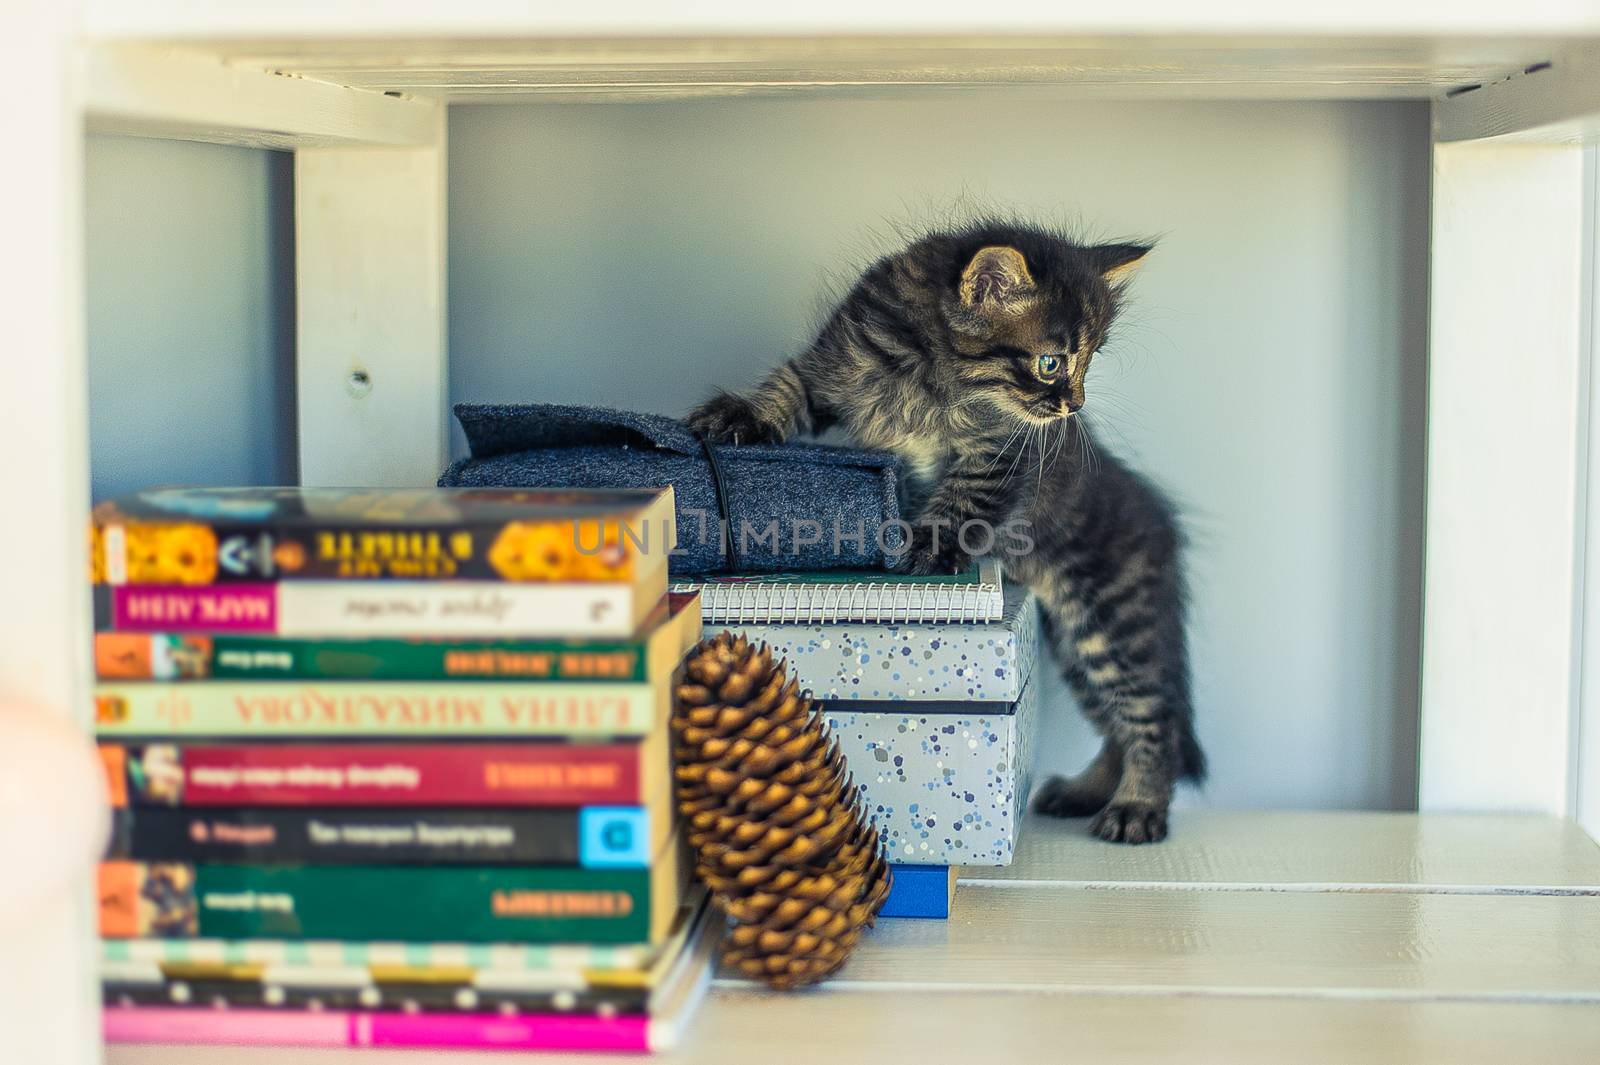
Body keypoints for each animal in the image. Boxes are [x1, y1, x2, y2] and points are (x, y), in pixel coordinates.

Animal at [684, 219, 1203, 844]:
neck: (934, 378)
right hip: (1077, 644)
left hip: (1113, 622)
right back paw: (1085, 792)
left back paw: (1137, 808)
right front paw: (744, 414)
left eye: (1088, 364)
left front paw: (929, 551)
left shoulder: (998, 454)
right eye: (1052, 363)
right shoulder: (831, 368)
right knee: (1114, 727)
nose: (1074, 406)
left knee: (1153, 719)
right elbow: (786, 389)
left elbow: (962, 503)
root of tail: (1161, 525)